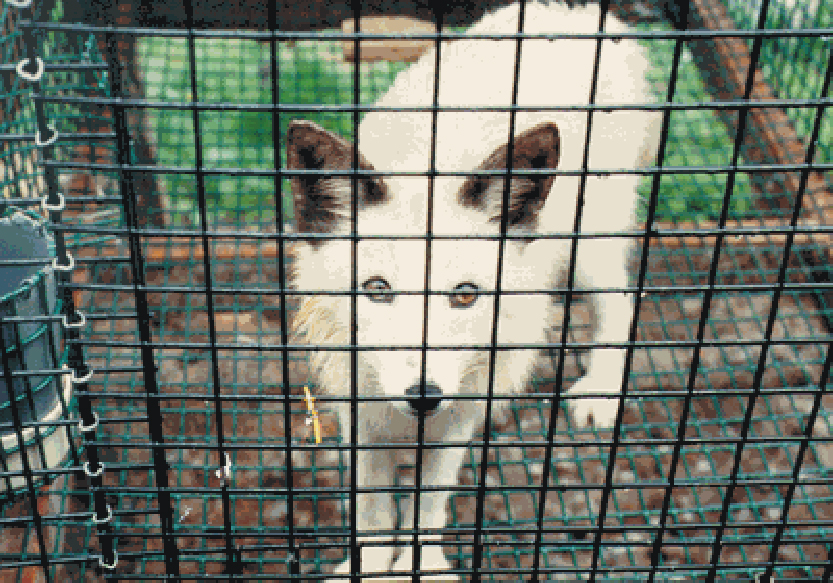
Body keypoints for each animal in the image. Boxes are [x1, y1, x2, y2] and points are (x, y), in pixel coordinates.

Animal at [287, 1, 660, 579]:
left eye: (465, 294)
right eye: (377, 289)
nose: (423, 395)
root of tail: (588, 17)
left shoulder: (457, 415)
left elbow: (428, 504)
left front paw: (423, 565)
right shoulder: (358, 411)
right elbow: (372, 511)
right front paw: (367, 567)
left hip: (590, 246)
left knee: (619, 304)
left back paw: (599, 392)